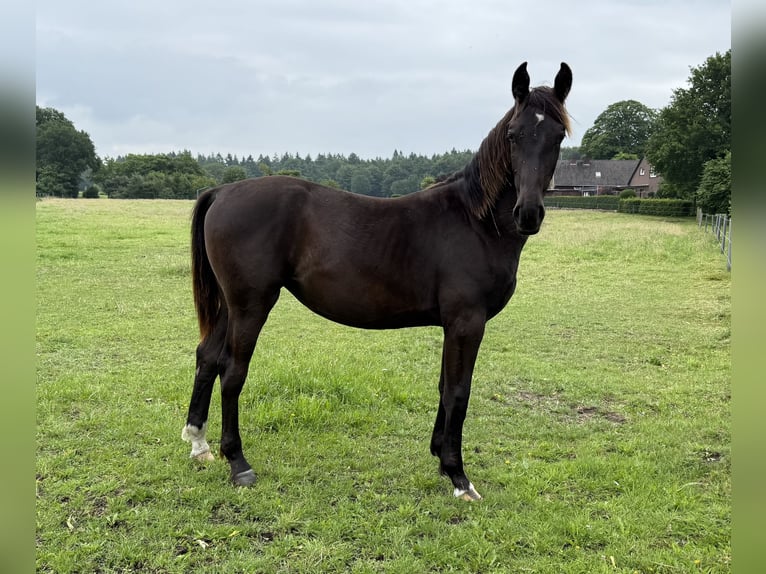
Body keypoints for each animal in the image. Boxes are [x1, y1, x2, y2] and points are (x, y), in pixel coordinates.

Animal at [182, 62, 572, 501]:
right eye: (513, 134)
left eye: (558, 135)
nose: (528, 213)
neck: (475, 222)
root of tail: (222, 191)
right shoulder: (467, 323)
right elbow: (459, 391)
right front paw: (459, 476)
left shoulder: (452, 326)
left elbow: (444, 387)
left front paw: (440, 458)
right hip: (251, 305)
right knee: (232, 371)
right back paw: (238, 463)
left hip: (230, 306)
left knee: (207, 358)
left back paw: (199, 444)